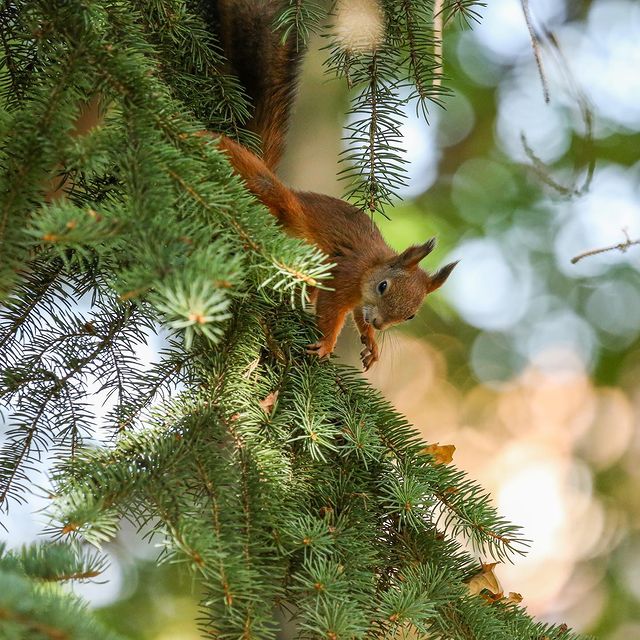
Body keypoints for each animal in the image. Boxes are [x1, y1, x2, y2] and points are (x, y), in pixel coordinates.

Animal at [201, 0, 457, 370]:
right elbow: (331, 311)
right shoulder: (344, 277)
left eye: (411, 316)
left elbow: (357, 316)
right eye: (383, 287)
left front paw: (371, 341)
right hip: (281, 205)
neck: (369, 268)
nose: (381, 323)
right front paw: (326, 343)